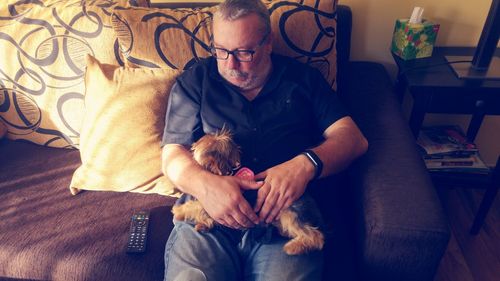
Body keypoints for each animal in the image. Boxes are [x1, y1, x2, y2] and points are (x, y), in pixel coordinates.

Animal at [172, 128, 324, 255]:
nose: (192, 144)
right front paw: (203, 225)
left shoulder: (210, 203)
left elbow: (194, 206)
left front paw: (178, 211)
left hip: (289, 213)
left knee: (316, 237)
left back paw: (293, 247)